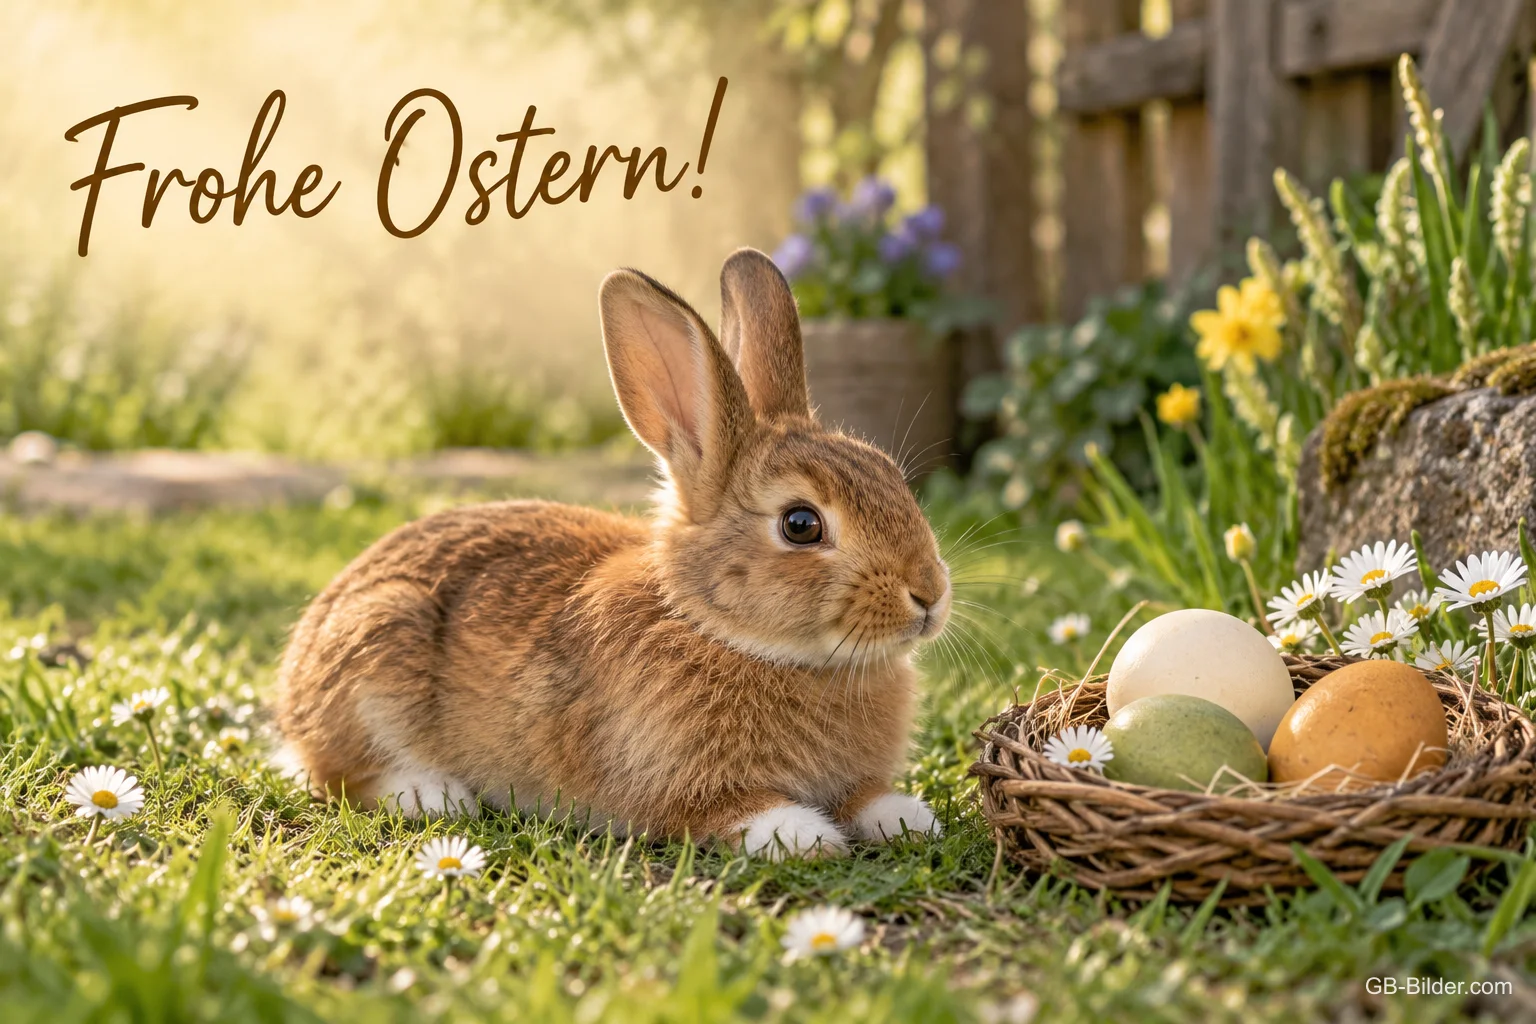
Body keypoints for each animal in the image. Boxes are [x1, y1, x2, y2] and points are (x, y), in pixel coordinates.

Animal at [274, 248, 952, 858]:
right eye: (802, 524)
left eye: (892, 475)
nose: (930, 594)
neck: (720, 630)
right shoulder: (669, 783)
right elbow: (733, 812)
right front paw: (805, 835)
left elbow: (867, 797)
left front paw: (906, 818)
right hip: (374, 647)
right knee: (344, 775)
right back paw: (434, 795)